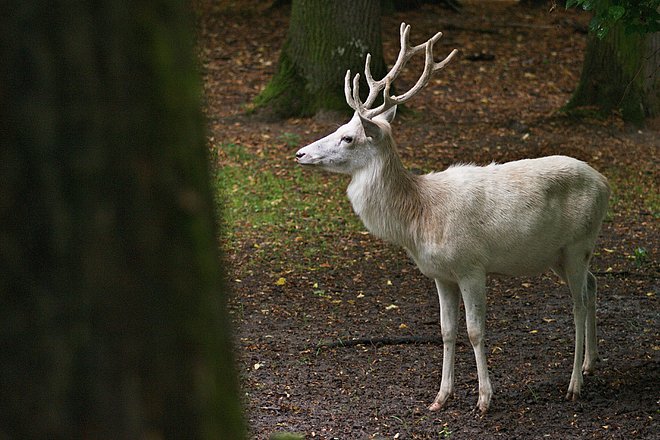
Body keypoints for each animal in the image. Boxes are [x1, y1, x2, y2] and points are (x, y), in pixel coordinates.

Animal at [296, 22, 612, 414]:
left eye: (348, 137)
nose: (300, 153)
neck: (419, 217)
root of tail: (605, 182)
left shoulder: (471, 265)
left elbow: (475, 331)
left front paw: (484, 399)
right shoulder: (440, 274)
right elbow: (447, 331)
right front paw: (440, 397)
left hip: (579, 243)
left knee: (578, 303)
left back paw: (574, 384)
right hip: (556, 254)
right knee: (593, 284)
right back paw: (590, 363)